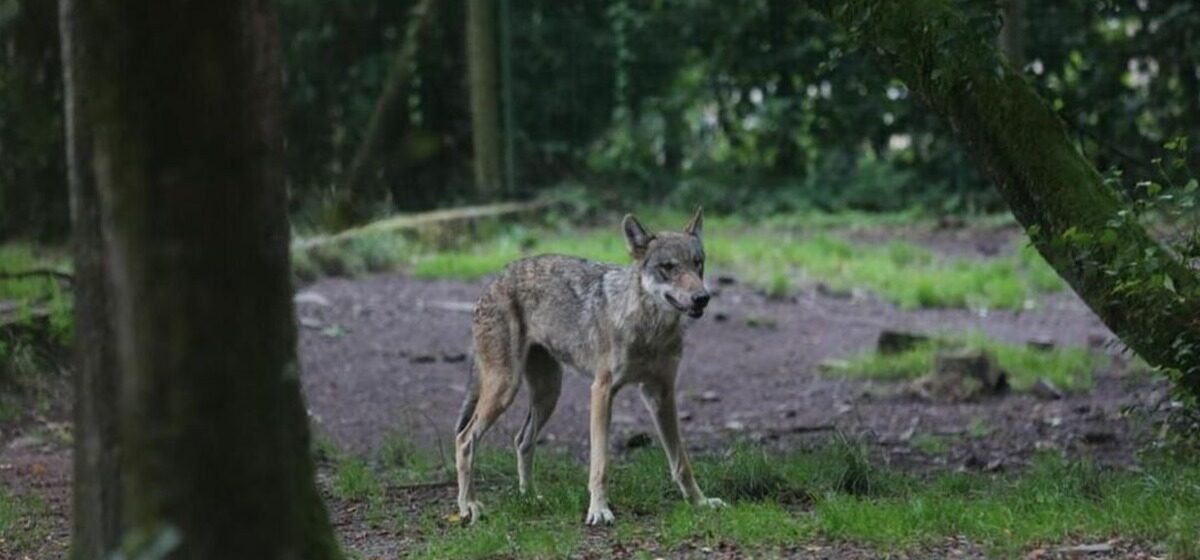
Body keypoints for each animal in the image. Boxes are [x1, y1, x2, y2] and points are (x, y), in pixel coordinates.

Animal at [454, 207, 724, 525]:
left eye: (698, 264)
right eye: (668, 267)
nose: (702, 298)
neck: (650, 330)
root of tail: (496, 279)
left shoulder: (660, 394)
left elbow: (681, 462)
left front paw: (700, 502)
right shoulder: (602, 391)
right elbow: (600, 464)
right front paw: (599, 510)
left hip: (548, 393)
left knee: (522, 440)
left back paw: (529, 498)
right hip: (505, 388)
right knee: (464, 439)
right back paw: (468, 506)